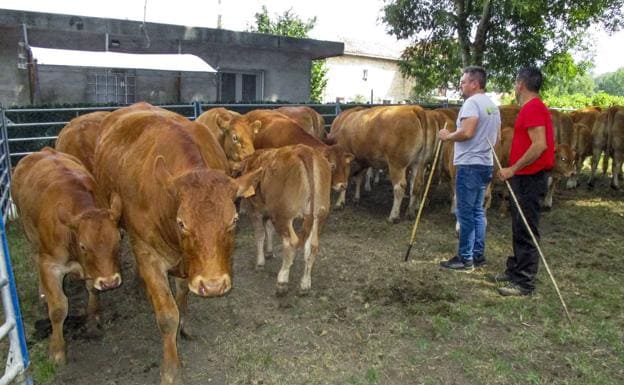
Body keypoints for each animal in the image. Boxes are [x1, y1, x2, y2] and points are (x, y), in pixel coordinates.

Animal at [11, 146, 122, 364]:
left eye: (118, 240)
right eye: (83, 246)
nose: (110, 282)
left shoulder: (93, 270)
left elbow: (92, 288)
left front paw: (93, 314)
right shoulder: (49, 264)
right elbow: (58, 308)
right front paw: (57, 350)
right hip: (30, 236)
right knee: (35, 257)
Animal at [93, 108, 260, 384]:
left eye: (234, 220)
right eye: (182, 223)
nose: (213, 286)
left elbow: (182, 294)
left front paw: (186, 326)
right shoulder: (148, 254)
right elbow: (168, 315)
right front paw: (171, 370)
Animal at [239, 144, 332, 294]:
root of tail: (304, 150)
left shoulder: (255, 211)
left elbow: (260, 234)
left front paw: (260, 263)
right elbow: (269, 229)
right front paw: (269, 252)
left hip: (283, 216)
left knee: (291, 242)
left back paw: (282, 281)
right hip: (319, 215)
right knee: (312, 246)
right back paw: (305, 283)